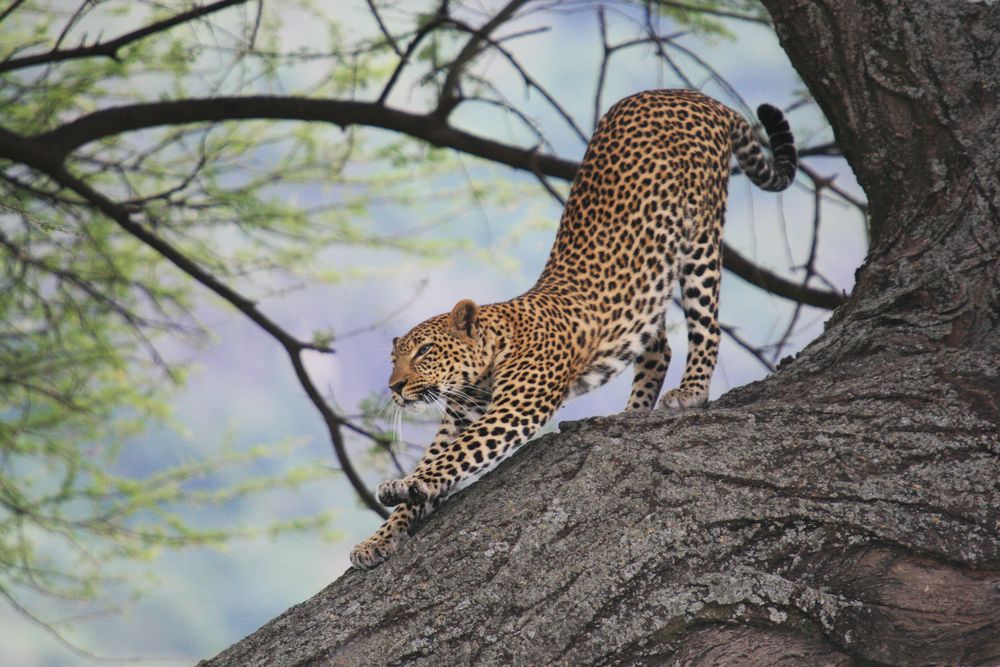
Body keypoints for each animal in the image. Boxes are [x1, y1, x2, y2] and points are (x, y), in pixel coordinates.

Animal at [348, 88, 792, 568]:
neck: (483, 366)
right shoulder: (459, 418)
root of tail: (689, 94)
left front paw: (407, 483)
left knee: (706, 324)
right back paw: (632, 413)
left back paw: (691, 391)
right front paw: (378, 538)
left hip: (701, 239)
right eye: (394, 359)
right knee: (658, 347)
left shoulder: (514, 410)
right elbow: (438, 460)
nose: (394, 387)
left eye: (425, 351)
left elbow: (455, 455)